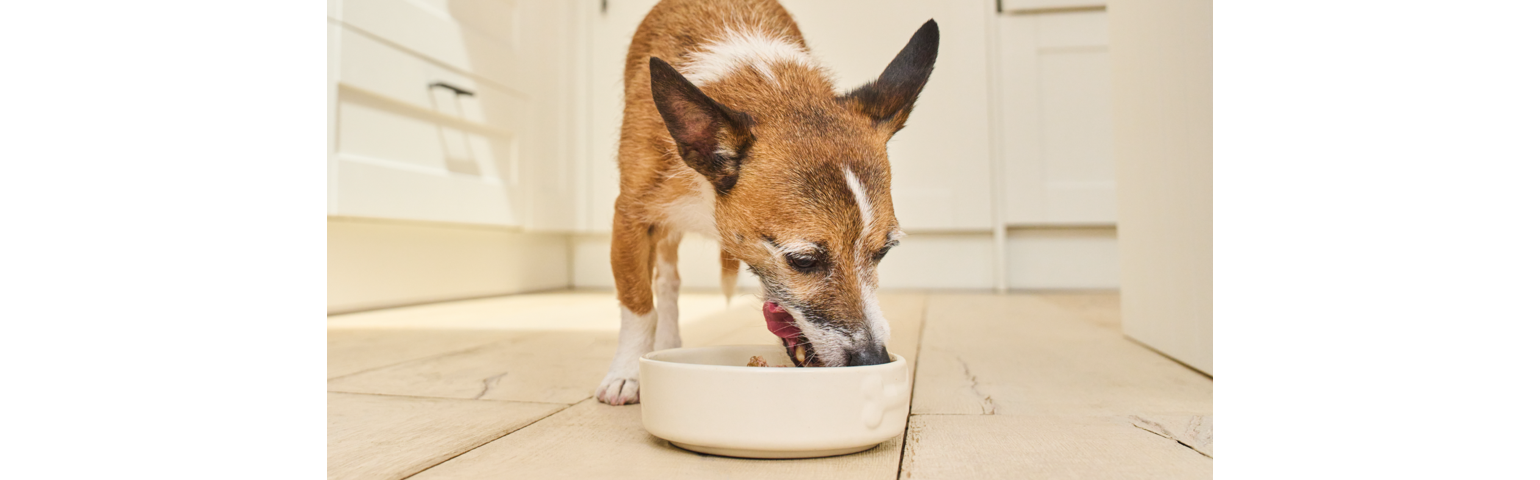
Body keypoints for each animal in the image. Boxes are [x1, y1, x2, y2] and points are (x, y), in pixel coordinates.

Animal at [597, 0, 936, 406]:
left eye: (883, 252)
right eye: (803, 261)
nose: (873, 359)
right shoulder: (632, 219)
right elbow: (637, 304)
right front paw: (627, 372)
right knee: (666, 282)